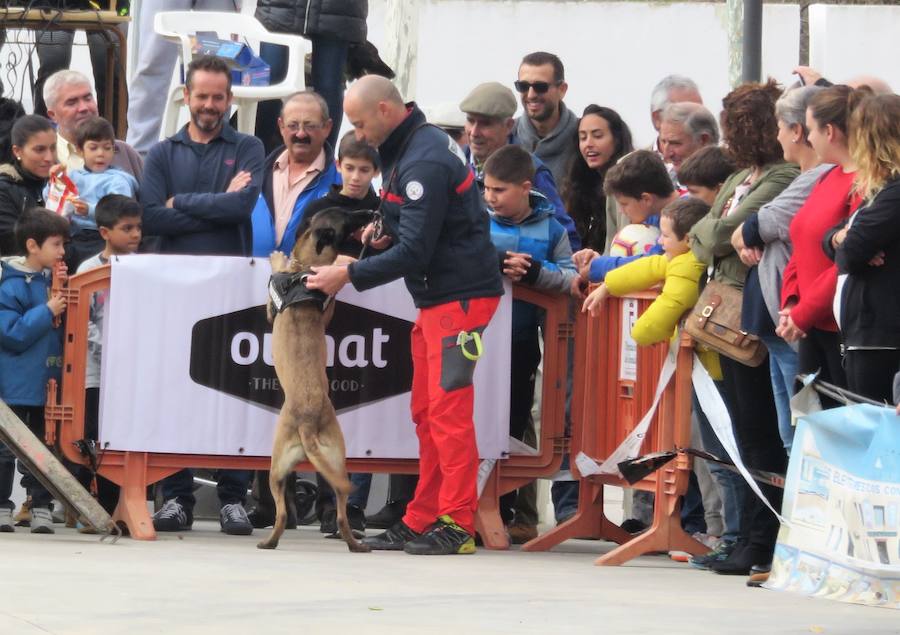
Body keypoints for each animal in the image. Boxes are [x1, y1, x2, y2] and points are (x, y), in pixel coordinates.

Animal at [256, 207, 372, 552]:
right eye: (347, 217)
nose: (371, 211)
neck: (304, 270)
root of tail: (308, 422)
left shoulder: (271, 310)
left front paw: (277, 258)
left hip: (276, 469)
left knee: (281, 514)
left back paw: (268, 543)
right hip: (337, 465)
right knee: (343, 512)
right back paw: (355, 544)